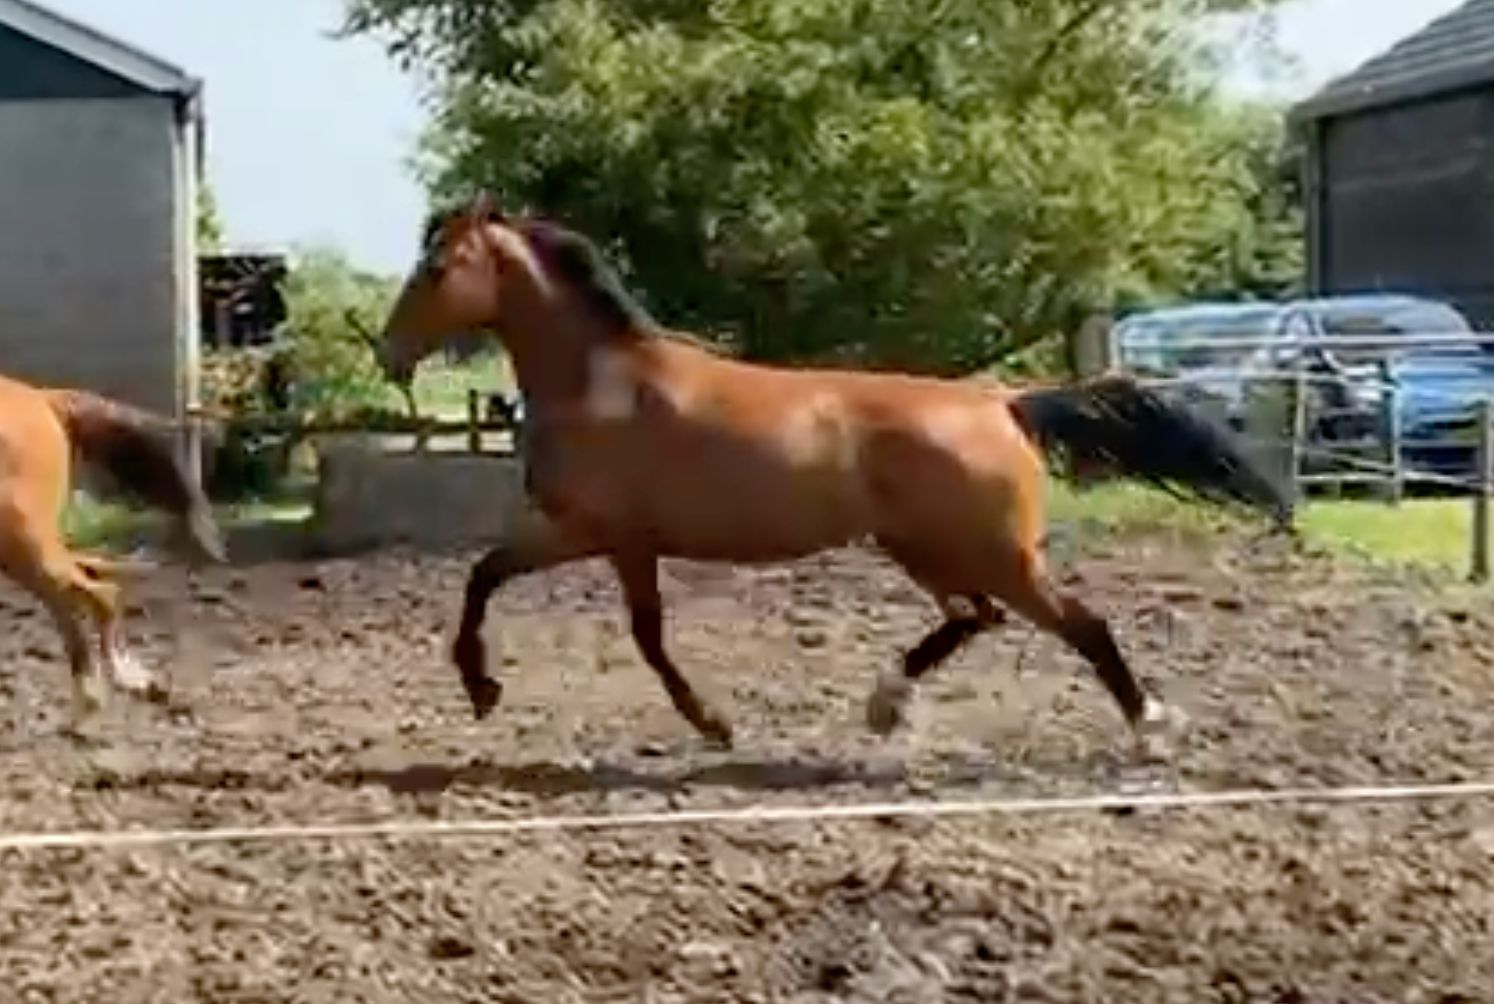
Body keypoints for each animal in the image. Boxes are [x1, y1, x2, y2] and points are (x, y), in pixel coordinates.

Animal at [0, 372, 226, 730]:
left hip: (21, 539)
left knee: (97, 591)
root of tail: (42, 397)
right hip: (24, 543)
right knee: (81, 586)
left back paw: (114, 684)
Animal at [375, 194, 1290, 759]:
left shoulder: (602, 532)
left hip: (993, 554)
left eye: (436, 268)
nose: (386, 354)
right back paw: (886, 704)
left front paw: (709, 725)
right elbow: (502, 581)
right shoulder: (601, 536)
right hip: (925, 549)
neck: (601, 384)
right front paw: (486, 688)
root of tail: (1004, 401)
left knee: (1080, 625)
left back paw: (1150, 728)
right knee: (975, 617)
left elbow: (606, 621)